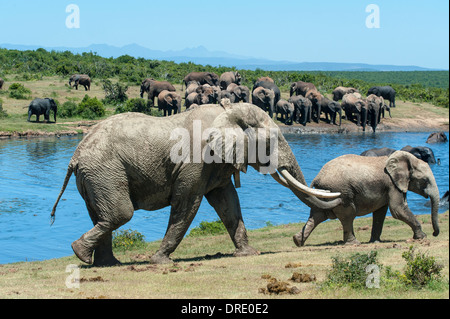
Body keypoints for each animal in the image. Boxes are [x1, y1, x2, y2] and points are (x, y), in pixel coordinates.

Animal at [51, 103, 342, 268]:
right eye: (273, 140)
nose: (296, 241)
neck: (228, 114)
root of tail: (75, 156)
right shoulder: (196, 161)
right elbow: (187, 204)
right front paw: (161, 262)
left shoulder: (217, 165)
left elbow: (228, 203)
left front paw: (248, 254)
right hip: (104, 172)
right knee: (120, 214)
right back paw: (81, 253)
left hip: (96, 176)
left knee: (102, 216)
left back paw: (103, 263)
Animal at [294, 151, 442, 246]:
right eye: (425, 180)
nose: (435, 233)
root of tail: (317, 177)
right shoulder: (392, 184)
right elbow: (398, 209)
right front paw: (422, 237)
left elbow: (380, 212)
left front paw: (375, 241)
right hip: (341, 191)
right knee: (348, 214)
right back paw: (354, 243)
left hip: (327, 193)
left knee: (317, 215)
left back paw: (297, 241)